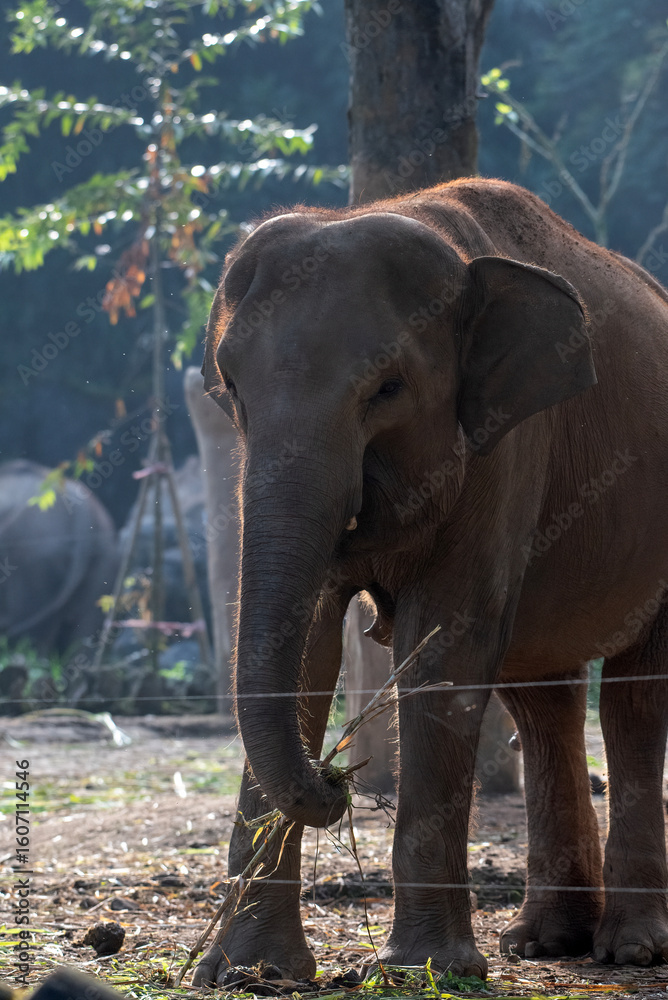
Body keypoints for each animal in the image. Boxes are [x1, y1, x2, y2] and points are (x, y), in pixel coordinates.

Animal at [194, 177, 668, 983]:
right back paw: (543, 942)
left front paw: (425, 969)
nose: (334, 785)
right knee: (543, 700)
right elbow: (311, 645)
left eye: (388, 387)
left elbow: (445, 643)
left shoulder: (506, 446)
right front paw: (250, 973)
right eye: (231, 385)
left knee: (633, 697)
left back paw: (631, 948)